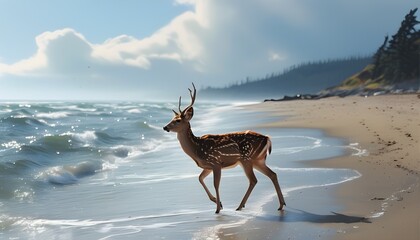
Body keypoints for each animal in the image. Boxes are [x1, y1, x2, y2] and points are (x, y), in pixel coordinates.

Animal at [163, 83, 286, 213]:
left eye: (178, 120)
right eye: (172, 118)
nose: (165, 127)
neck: (197, 149)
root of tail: (267, 138)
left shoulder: (215, 162)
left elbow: (215, 184)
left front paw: (218, 208)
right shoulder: (208, 166)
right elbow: (200, 178)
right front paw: (219, 203)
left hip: (247, 159)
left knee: (253, 180)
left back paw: (240, 205)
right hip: (258, 160)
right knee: (272, 174)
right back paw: (281, 204)